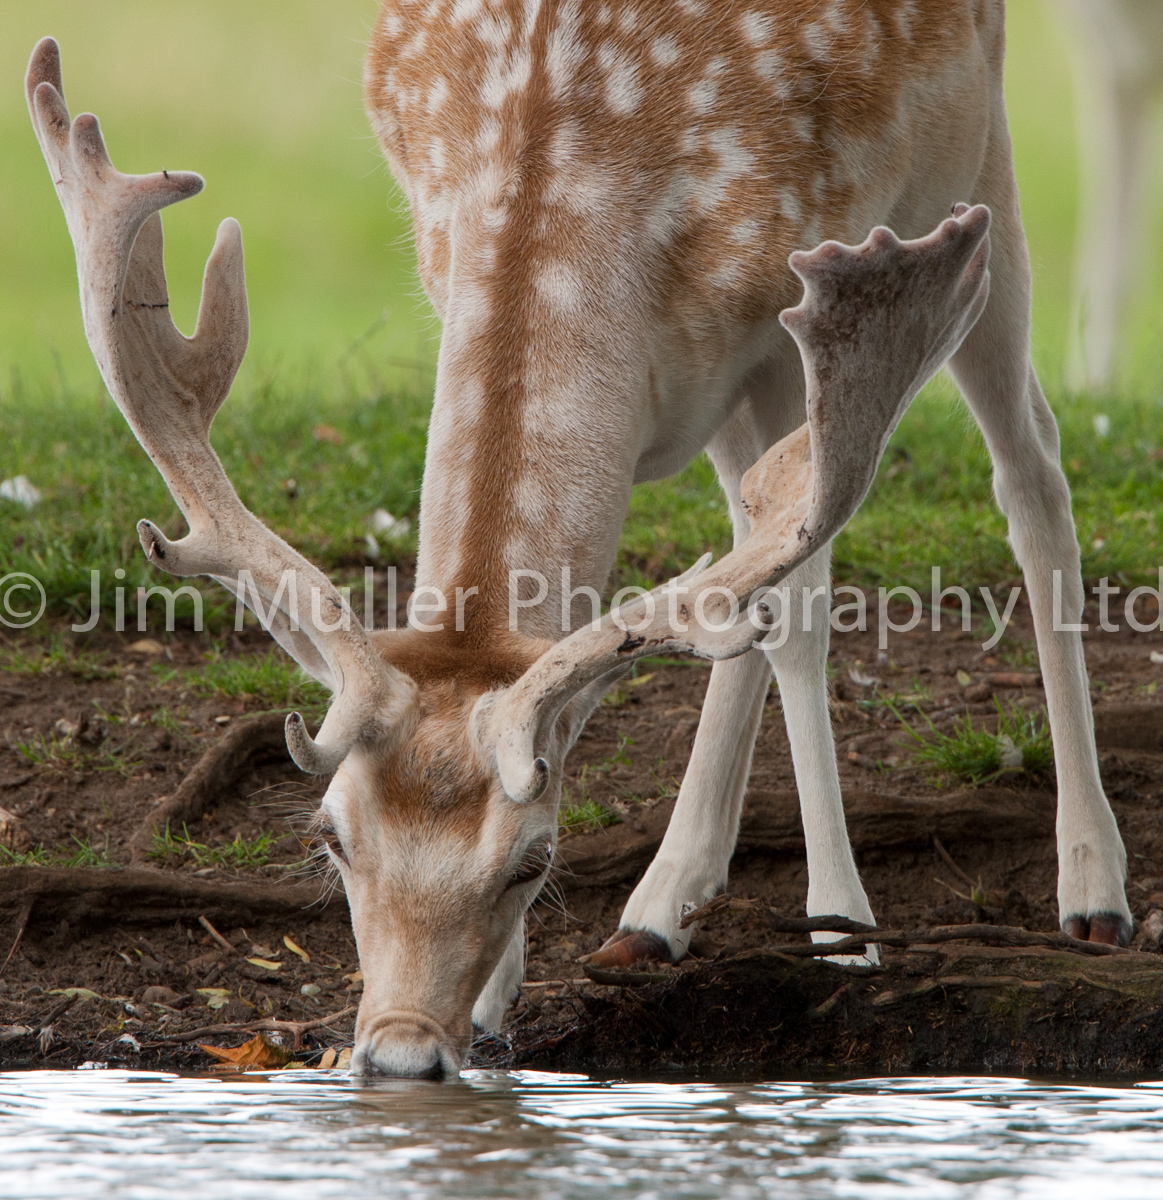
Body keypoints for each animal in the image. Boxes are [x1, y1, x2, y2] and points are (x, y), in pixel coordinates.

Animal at [27, 0, 1128, 1080]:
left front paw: (841, 931)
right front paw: (503, 995)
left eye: (535, 861)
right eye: (330, 836)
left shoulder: (790, 321)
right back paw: (658, 910)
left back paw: (1091, 888)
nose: (399, 1052)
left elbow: (794, 604)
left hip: (972, 171)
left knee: (1027, 467)